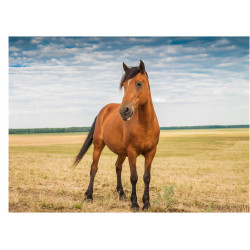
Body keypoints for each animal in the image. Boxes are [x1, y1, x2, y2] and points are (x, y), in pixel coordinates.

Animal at [74, 60, 160, 211]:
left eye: (139, 83)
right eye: (124, 85)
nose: (124, 110)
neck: (145, 124)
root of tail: (103, 111)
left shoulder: (151, 152)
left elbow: (146, 177)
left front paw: (146, 203)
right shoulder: (132, 152)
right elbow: (134, 177)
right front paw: (135, 204)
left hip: (121, 152)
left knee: (118, 167)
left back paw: (121, 194)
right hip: (98, 145)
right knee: (94, 168)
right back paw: (89, 195)